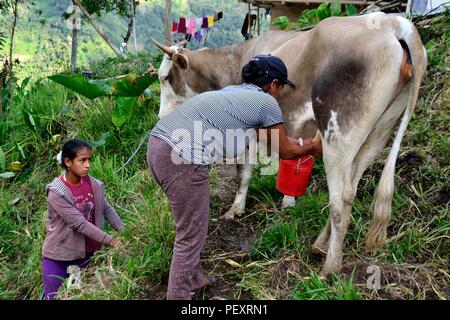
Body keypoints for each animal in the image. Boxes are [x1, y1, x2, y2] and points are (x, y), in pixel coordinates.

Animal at [150, 12, 426, 276]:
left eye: (165, 78)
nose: (160, 116)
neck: (236, 61)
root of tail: (391, 22)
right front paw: (288, 202)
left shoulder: (250, 131)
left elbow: (243, 173)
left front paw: (235, 210)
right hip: (379, 131)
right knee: (353, 186)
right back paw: (320, 245)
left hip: (339, 133)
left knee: (341, 198)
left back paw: (330, 267)